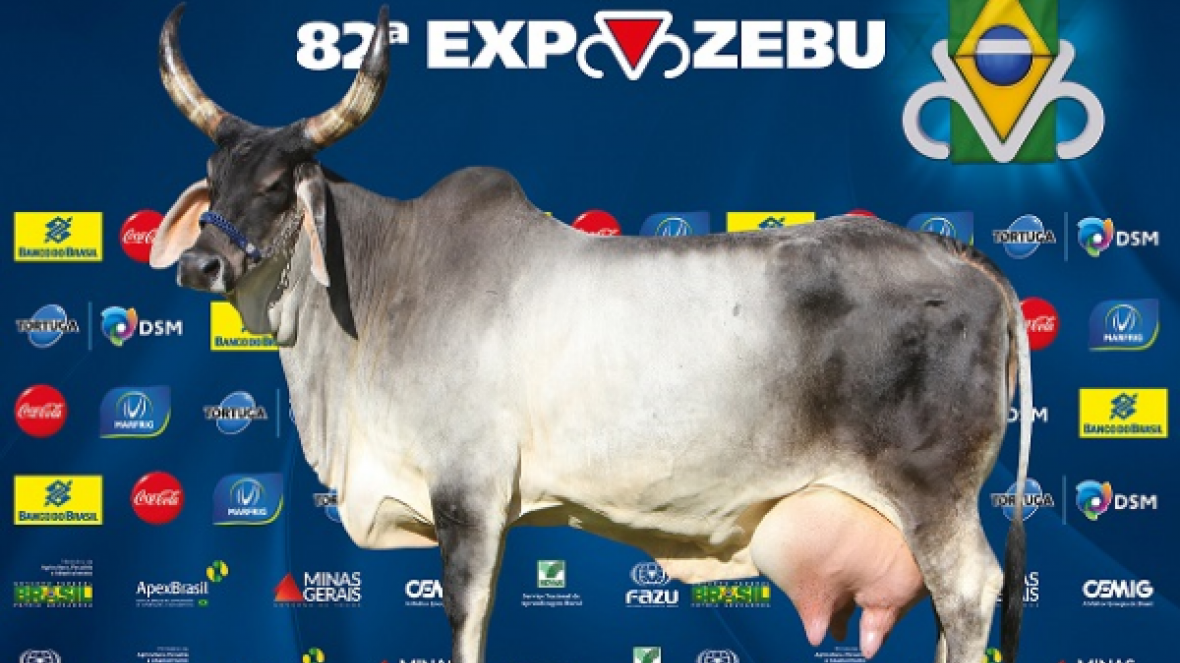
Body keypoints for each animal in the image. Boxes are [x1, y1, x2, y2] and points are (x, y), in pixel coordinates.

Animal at [150, 6, 1033, 663]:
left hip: (935, 495)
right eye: (213, 177)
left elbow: (466, 618)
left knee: (968, 593)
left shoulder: (468, 492)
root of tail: (960, 256)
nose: (199, 264)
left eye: (277, 184)